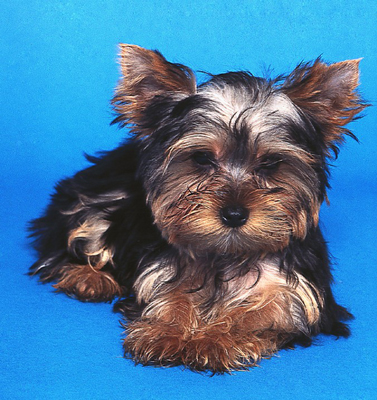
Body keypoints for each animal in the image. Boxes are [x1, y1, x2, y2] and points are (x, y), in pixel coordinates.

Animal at [28, 45, 364, 374]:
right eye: (201, 158)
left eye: (270, 163)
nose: (234, 214)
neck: (228, 254)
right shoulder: (161, 264)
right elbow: (171, 292)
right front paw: (168, 332)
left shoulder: (297, 291)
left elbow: (265, 311)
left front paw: (215, 338)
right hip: (99, 200)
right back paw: (88, 278)